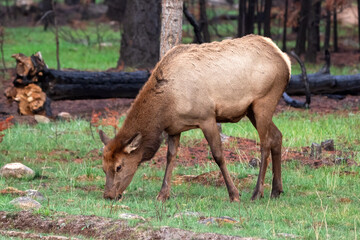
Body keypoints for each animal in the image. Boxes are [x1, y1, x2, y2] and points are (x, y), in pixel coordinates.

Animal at [100, 34, 292, 202]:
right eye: (103, 167)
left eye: (119, 166)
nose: (108, 195)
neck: (167, 107)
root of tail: (285, 60)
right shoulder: (174, 127)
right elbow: (170, 157)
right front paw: (163, 195)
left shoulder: (207, 117)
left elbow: (218, 155)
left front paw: (234, 194)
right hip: (251, 109)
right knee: (277, 135)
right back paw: (276, 190)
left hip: (264, 100)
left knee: (265, 143)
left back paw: (257, 192)